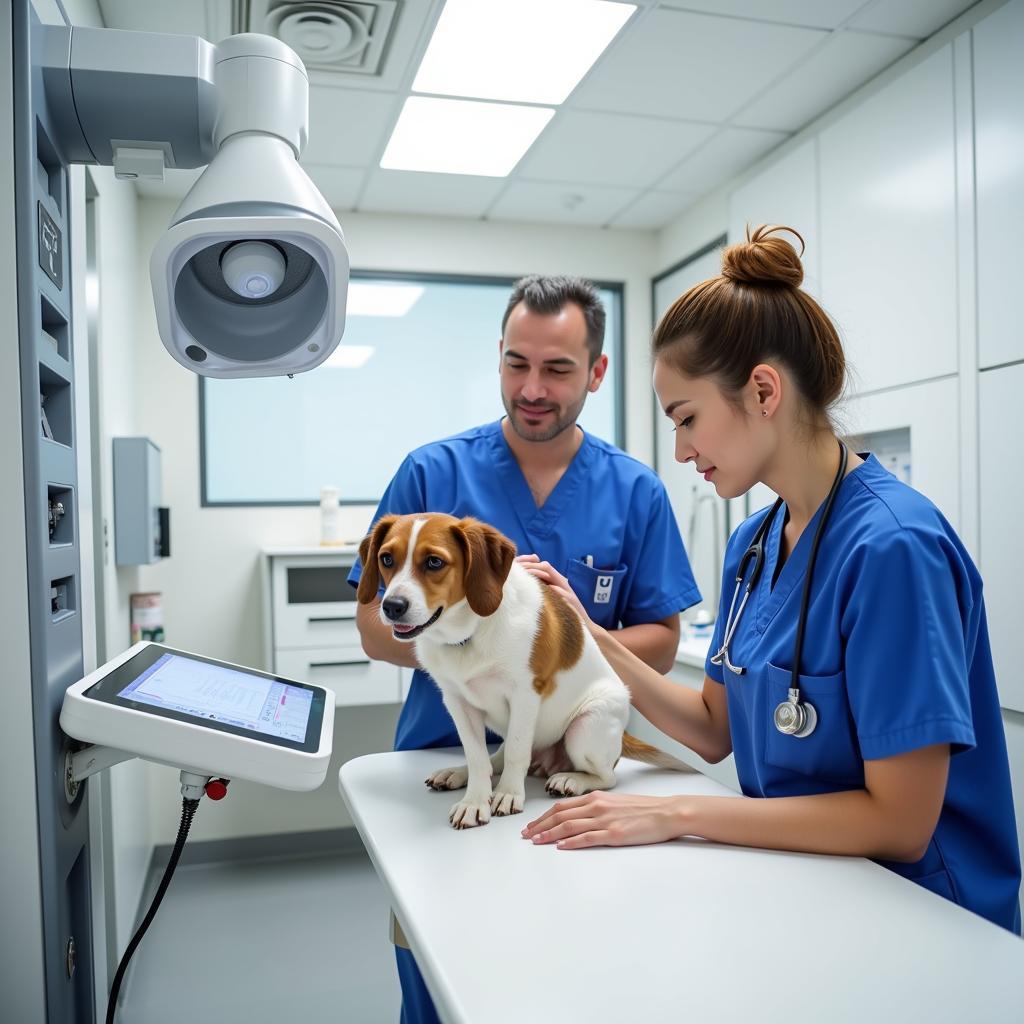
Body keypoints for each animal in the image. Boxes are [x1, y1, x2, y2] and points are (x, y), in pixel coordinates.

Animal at [356, 516, 692, 827]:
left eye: (434, 562)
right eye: (387, 559)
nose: (392, 606)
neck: (470, 633)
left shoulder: (525, 695)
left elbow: (518, 752)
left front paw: (508, 794)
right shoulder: (456, 702)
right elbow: (477, 757)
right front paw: (475, 800)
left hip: (585, 728)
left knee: (606, 777)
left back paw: (572, 779)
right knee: (495, 759)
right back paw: (457, 773)